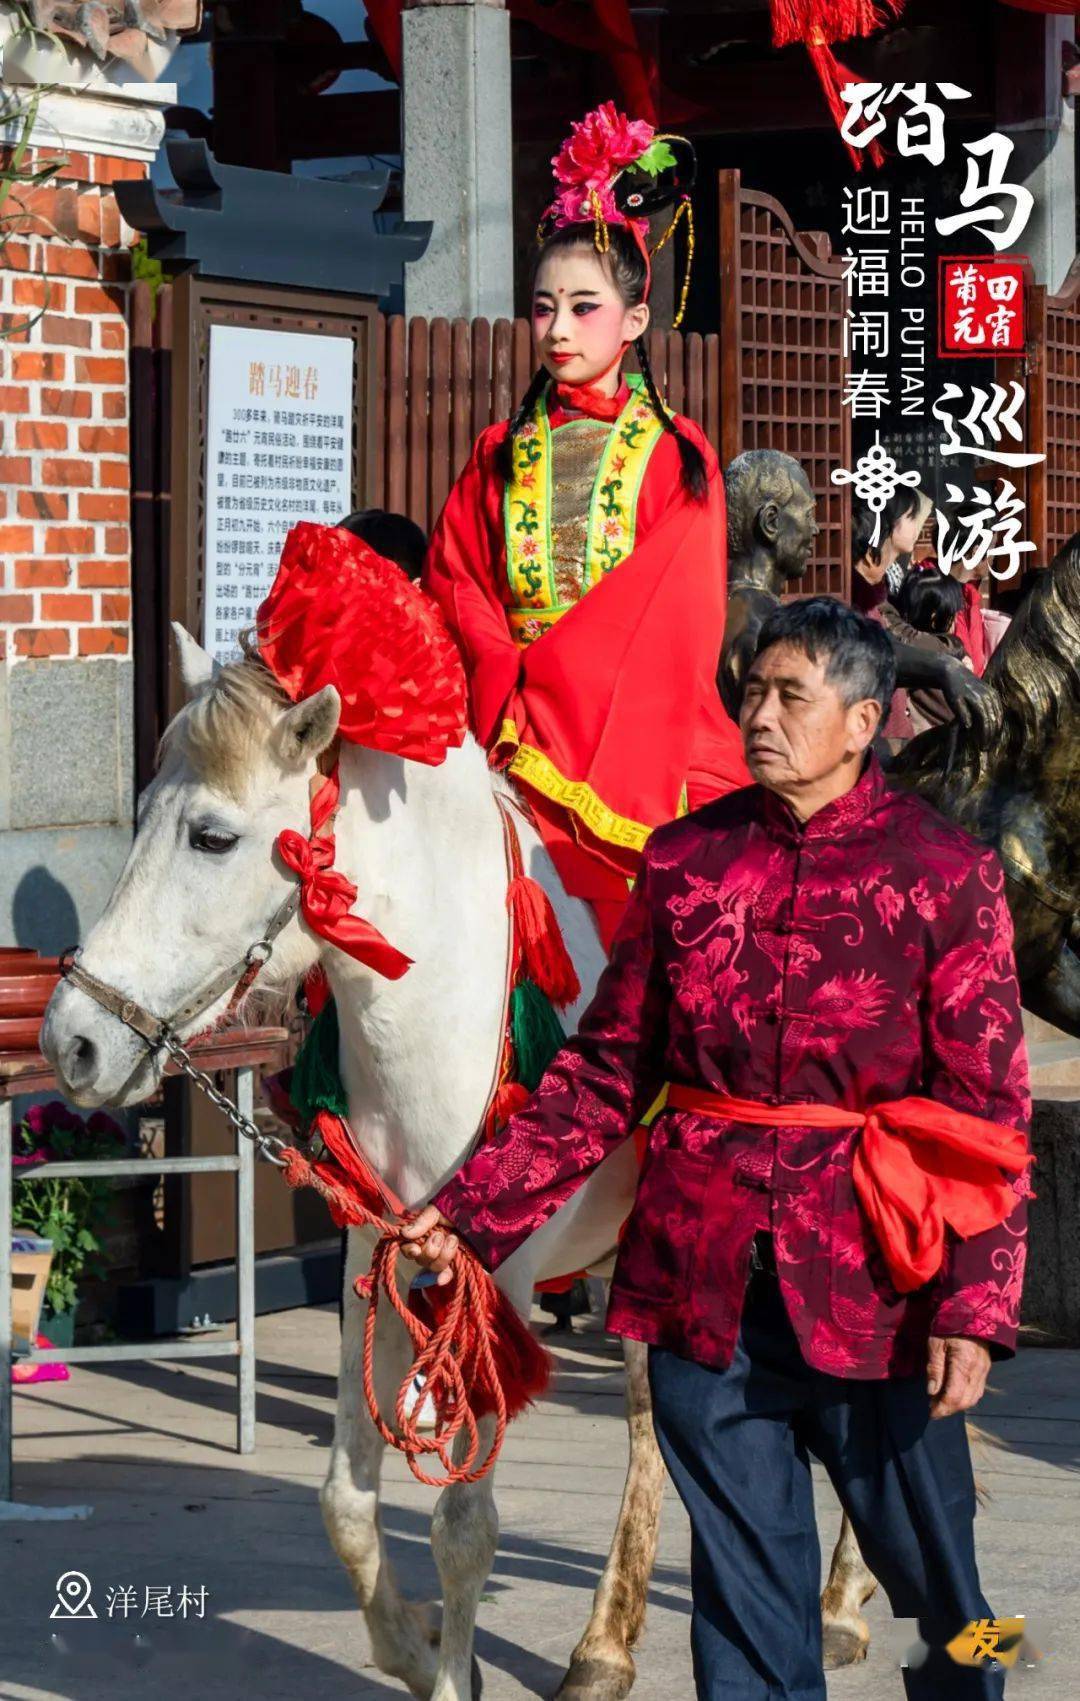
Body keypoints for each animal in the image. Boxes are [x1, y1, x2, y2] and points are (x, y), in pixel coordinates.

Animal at [44, 636, 877, 1701]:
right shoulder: (377, 1247)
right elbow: (346, 1501)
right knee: (652, 1421)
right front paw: (411, 1646)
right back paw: (605, 1644)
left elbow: (463, 1526)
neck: (438, 998)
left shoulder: (497, 1279)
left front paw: (451, 1674)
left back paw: (839, 1601)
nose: (71, 1040)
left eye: (213, 837)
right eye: (141, 811)